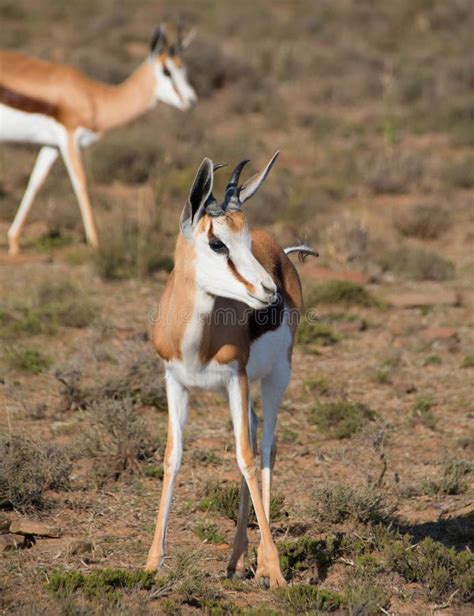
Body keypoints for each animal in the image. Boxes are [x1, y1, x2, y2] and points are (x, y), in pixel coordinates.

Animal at [0, 25, 196, 254]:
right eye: (166, 70)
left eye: (184, 69)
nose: (191, 100)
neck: (95, 98)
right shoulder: (69, 139)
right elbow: (81, 184)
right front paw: (96, 245)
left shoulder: (52, 145)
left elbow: (35, 181)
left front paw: (14, 242)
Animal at [147, 153, 318, 588]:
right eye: (217, 242)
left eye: (244, 241)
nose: (270, 291)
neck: (197, 342)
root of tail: (281, 250)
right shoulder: (175, 382)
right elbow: (173, 455)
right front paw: (152, 562)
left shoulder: (234, 379)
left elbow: (245, 457)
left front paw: (274, 568)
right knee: (256, 436)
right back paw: (236, 558)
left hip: (276, 379)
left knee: (267, 447)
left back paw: (259, 562)